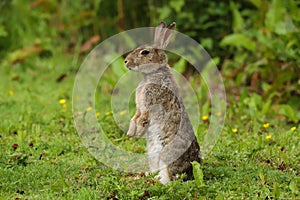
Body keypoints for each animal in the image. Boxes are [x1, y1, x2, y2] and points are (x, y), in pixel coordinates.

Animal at [124, 21, 202, 184]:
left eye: (145, 52)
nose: (126, 61)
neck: (154, 72)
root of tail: (189, 172)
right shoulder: (139, 106)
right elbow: (135, 117)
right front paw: (130, 133)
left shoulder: (149, 103)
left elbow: (143, 119)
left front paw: (137, 133)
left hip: (166, 157)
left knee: (168, 179)